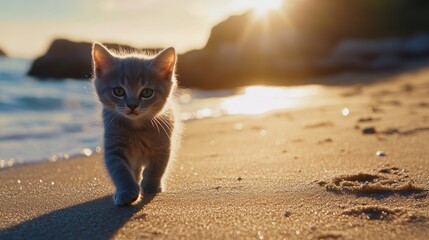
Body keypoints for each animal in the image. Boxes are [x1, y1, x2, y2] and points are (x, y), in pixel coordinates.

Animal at [92, 43, 179, 206]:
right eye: (118, 91)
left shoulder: (163, 145)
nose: (132, 105)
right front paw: (127, 192)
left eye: (147, 93)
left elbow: (157, 168)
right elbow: (120, 171)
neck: (137, 128)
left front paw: (151, 186)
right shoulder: (114, 147)